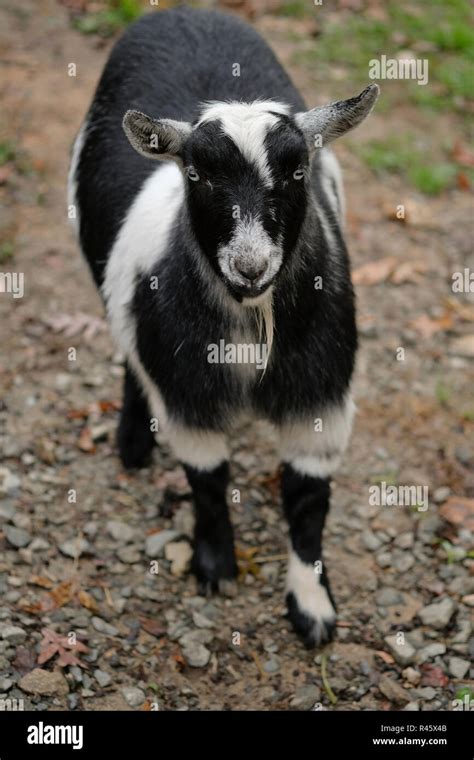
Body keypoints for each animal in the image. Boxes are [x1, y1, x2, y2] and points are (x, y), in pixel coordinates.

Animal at [69, 5, 378, 648]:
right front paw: (215, 567)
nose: (250, 264)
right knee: (128, 348)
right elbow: (208, 483)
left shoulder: (322, 395)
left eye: (298, 169)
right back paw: (133, 442)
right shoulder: (187, 392)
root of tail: (189, 12)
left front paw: (312, 608)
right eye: (195, 174)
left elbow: (308, 504)